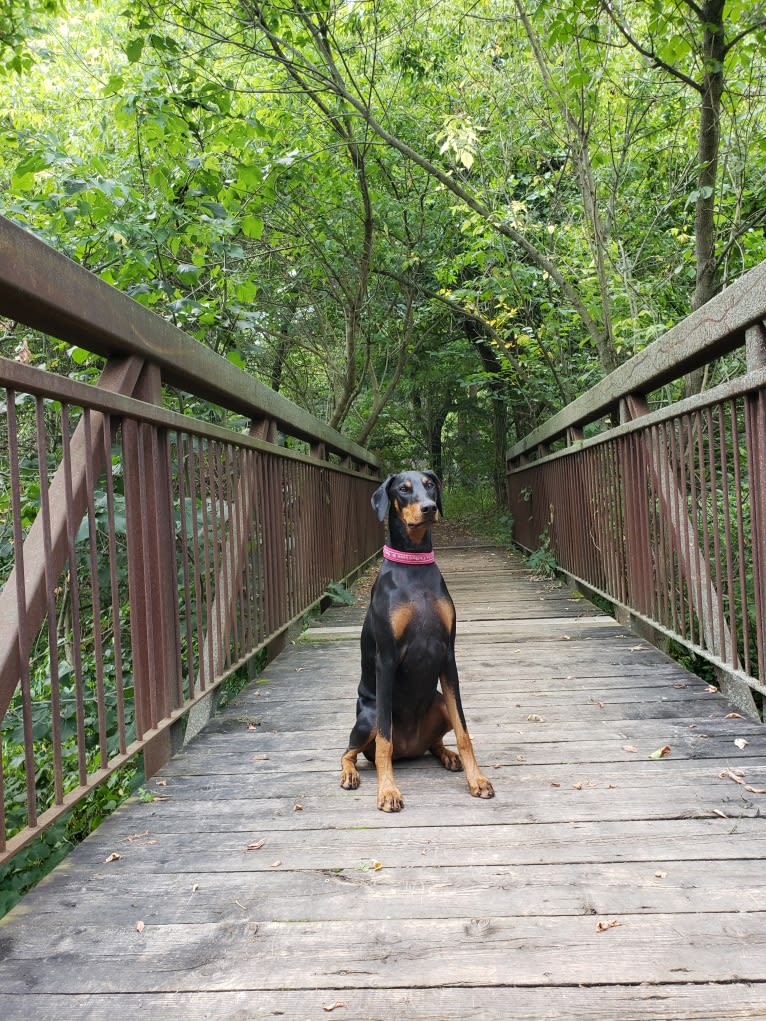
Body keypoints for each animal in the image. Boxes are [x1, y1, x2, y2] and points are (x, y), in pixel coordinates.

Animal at [339, 469, 494, 812]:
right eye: (404, 489)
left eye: (430, 485)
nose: (429, 508)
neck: (414, 565)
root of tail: (409, 750)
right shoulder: (386, 659)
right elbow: (384, 741)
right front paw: (388, 791)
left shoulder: (448, 655)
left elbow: (464, 731)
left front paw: (476, 779)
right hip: (368, 716)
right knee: (351, 751)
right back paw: (350, 774)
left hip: (439, 703)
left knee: (434, 742)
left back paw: (448, 755)